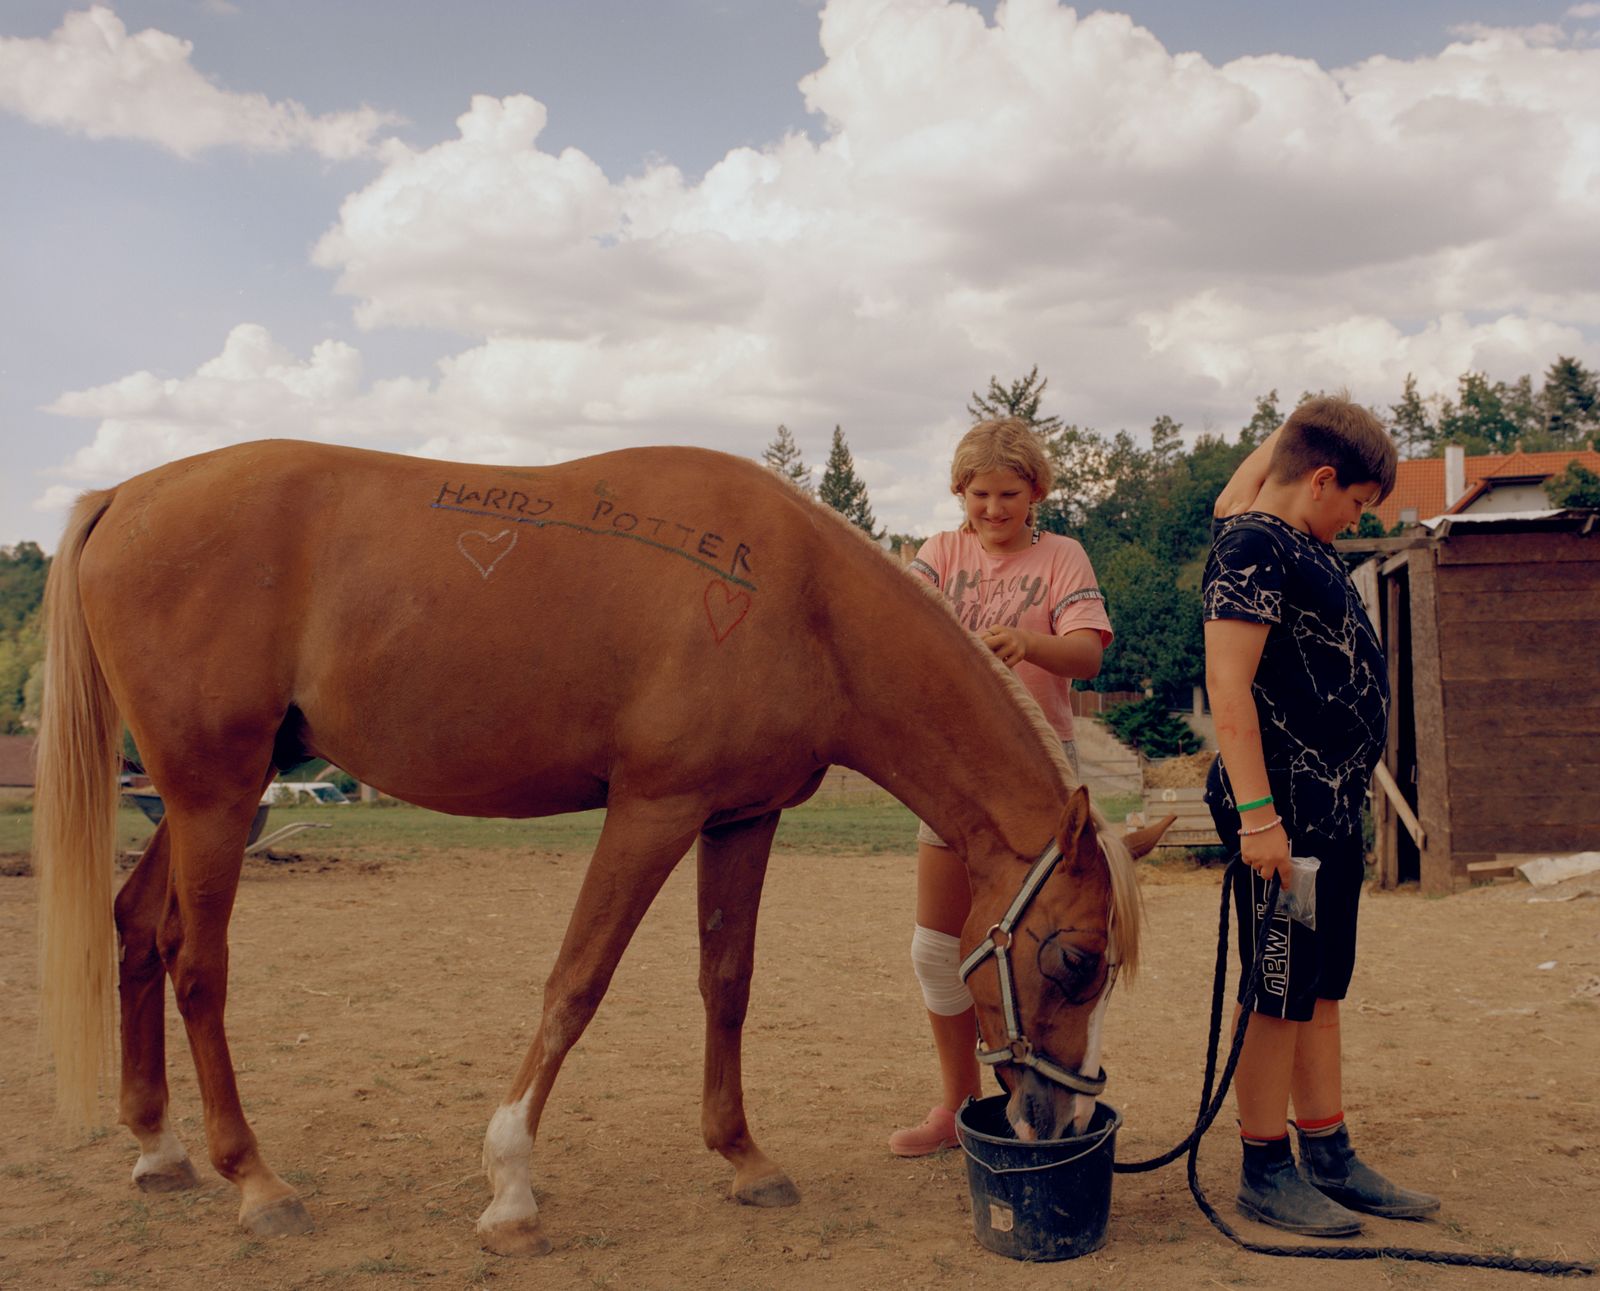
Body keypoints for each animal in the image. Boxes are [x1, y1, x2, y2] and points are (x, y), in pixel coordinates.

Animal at [37, 438, 1164, 1254]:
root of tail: (126, 494)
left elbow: (726, 983)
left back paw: (160, 1148)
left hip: (206, 801)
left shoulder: (738, 818)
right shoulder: (651, 811)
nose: (1065, 1126)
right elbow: (577, 981)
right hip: (214, 795)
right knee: (197, 965)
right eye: (1074, 958)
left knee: (136, 928)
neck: (803, 604)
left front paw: (745, 1158)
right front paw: (510, 1186)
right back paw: (256, 1180)